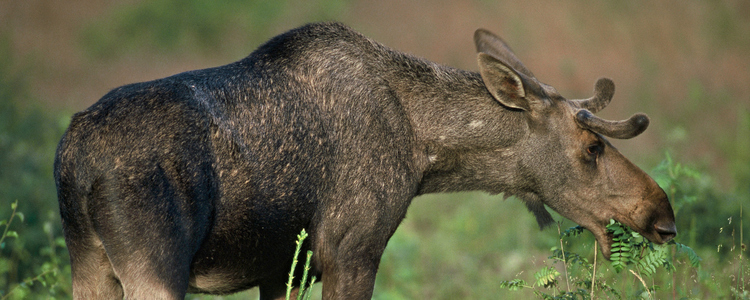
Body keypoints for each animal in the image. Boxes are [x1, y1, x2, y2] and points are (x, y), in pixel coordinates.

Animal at [53, 22, 676, 298]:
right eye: (592, 148)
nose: (663, 217)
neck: (424, 153)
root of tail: (77, 164)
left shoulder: (283, 268)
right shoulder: (351, 250)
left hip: (90, 266)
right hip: (155, 267)